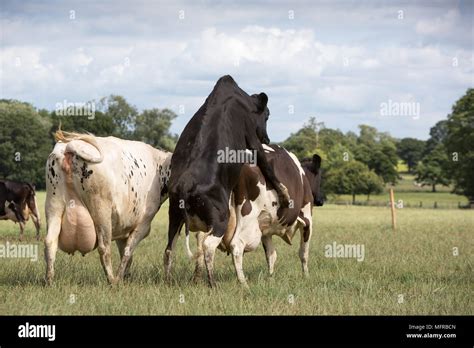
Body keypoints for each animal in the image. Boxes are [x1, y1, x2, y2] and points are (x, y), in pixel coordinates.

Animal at [44, 129, 172, 284]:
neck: (158, 166)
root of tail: (70, 146)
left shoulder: (123, 228)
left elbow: (127, 255)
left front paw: (125, 277)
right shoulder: (144, 223)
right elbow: (128, 251)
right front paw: (119, 278)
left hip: (53, 203)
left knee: (50, 241)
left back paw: (49, 281)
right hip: (101, 210)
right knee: (104, 248)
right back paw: (111, 280)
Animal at [200, 143, 322, 286]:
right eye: (320, 177)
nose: (320, 200)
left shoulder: (265, 230)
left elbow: (271, 255)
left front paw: (271, 278)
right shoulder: (307, 219)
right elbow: (303, 252)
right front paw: (306, 276)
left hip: (217, 219)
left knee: (206, 245)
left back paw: (208, 282)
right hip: (248, 216)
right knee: (236, 245)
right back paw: (243, 283)